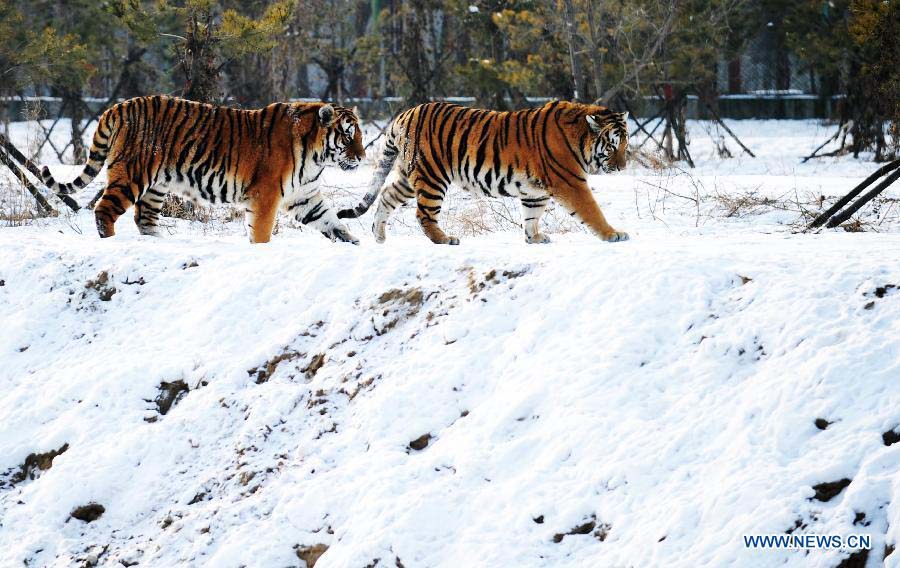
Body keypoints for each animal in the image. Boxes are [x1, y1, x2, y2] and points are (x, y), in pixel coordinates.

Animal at [41, 93, 366, 244]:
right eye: (348, 135)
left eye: (360, 135)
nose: (363, 157)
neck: (316, 158)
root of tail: (118, 106)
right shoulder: (265, 195)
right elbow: (261, 231)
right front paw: (261, 250)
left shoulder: (304, 196)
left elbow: (330, 221)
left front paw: (352, 243)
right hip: (132, 174)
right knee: (104, 210)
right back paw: (111, 241)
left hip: (156, 186)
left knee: (144, 218)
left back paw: (157, 242)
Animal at [342, 99, 628, 244]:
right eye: (612, 146)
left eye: (626, 144)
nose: (622, 167)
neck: (580, 138)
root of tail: (404, 114)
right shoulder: (570, 182)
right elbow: (592, 210)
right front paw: (613, 234)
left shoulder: (535, 190)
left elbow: (531, 215)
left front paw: (533, 238)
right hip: (432, 176)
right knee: (423, 214)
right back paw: (444, 239)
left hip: (409, 175)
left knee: (387, 196)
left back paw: (379, 236)